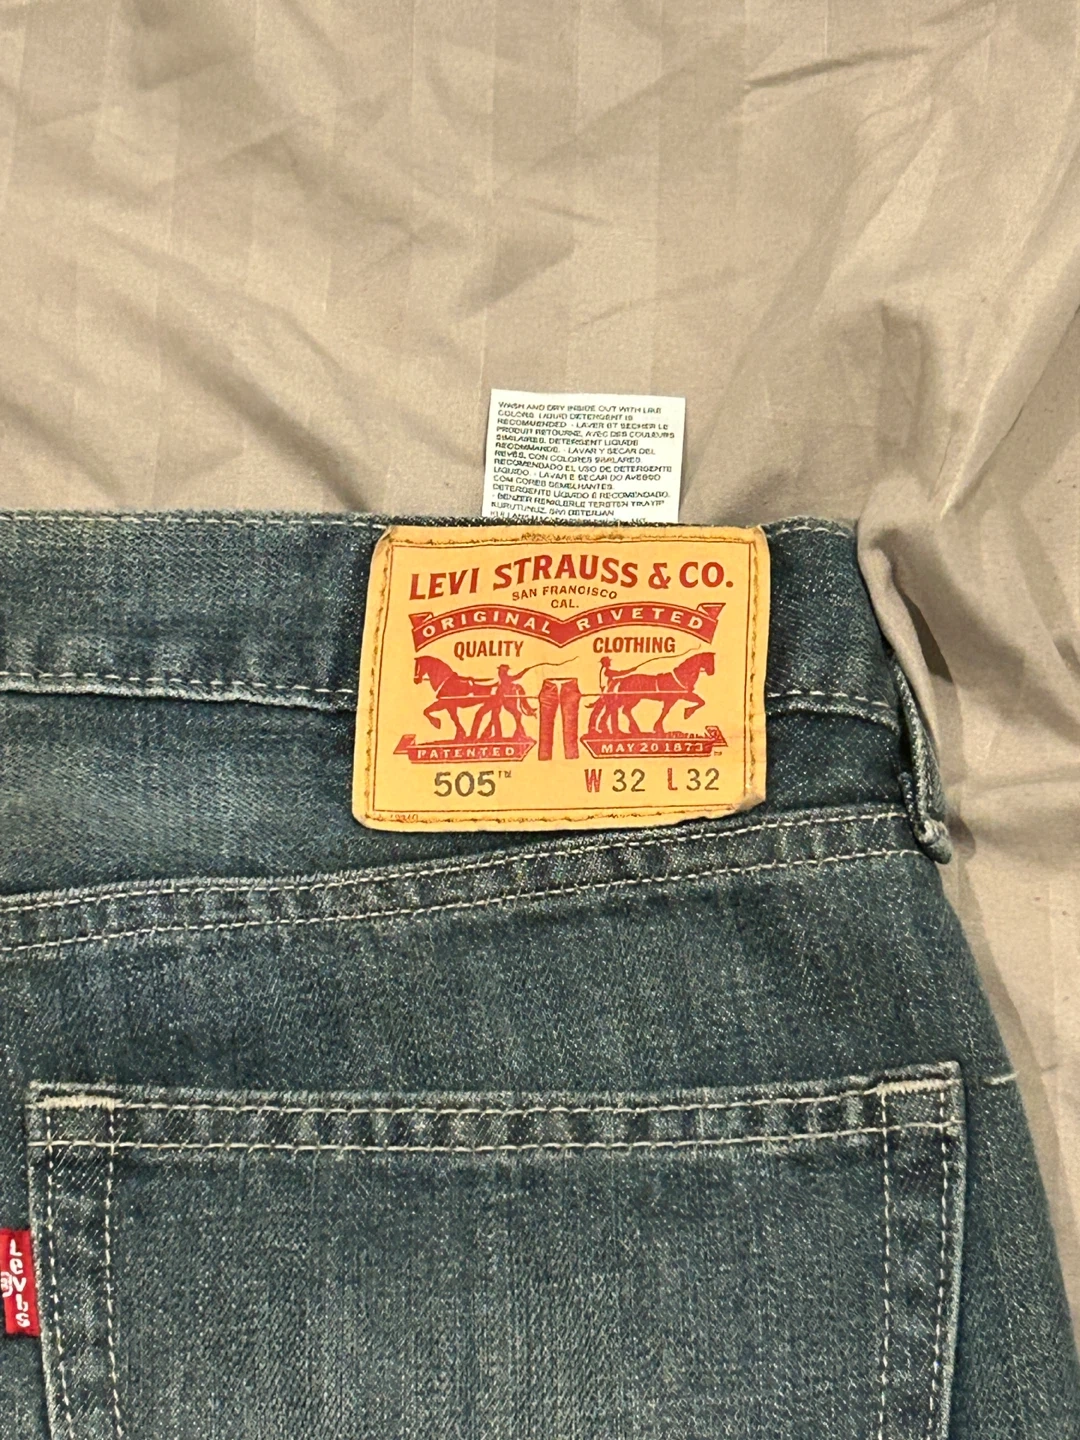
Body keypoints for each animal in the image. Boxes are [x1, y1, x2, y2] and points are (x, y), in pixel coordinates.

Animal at [587, 652, 716, 736]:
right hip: (631, 698)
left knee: (620, 709)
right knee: (617, 708)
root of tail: (622, 679)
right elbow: (666, 712)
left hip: (632, 699)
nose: (712, 672)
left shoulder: (681, 696)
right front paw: (687, 713)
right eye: (709, 661)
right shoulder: (673, 699)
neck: (681, 677)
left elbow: (700, 701)